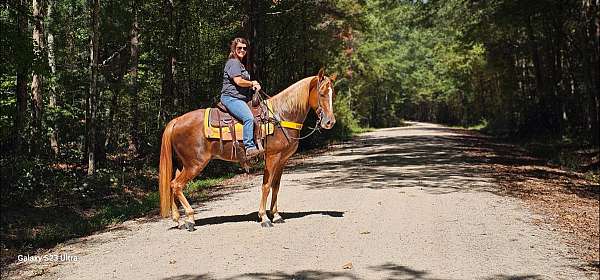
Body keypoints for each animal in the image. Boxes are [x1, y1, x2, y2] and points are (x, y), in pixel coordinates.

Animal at [158, 69, 338, 231]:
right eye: (322, 93)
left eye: (332, 94)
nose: (330, 122)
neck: (280, 116)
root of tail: (176, 120)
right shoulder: (272, 157)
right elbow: (266, 186)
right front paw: (265, 218)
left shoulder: (282, 160)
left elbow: (276, 186)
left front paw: (276, 215)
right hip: (195, 164)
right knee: (176, 185)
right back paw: (190, 219)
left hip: (182, 164)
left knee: (172, 185)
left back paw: (179, 221)